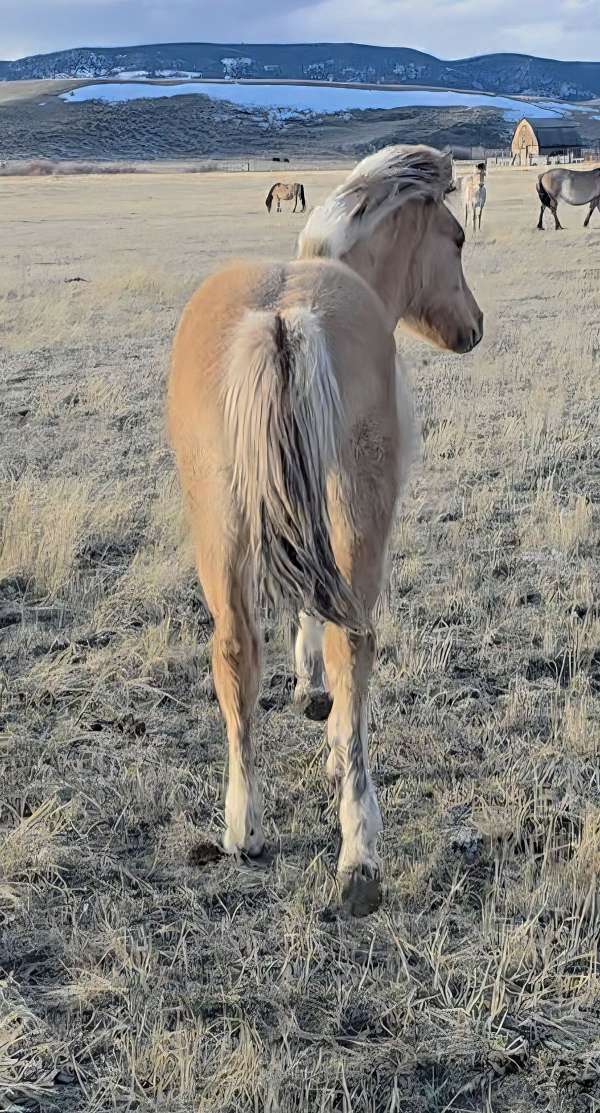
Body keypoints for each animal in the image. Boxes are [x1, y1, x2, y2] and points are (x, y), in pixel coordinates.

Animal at [167, 145, 483, 916]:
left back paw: (243, 829)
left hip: (220, 525)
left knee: (234, 651)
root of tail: (282, 322)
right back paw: (358, 851)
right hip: (354, 517)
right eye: (457, 238)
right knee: (355, 643)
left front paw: (306, 691)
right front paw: (326, 713)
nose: (474, 327)